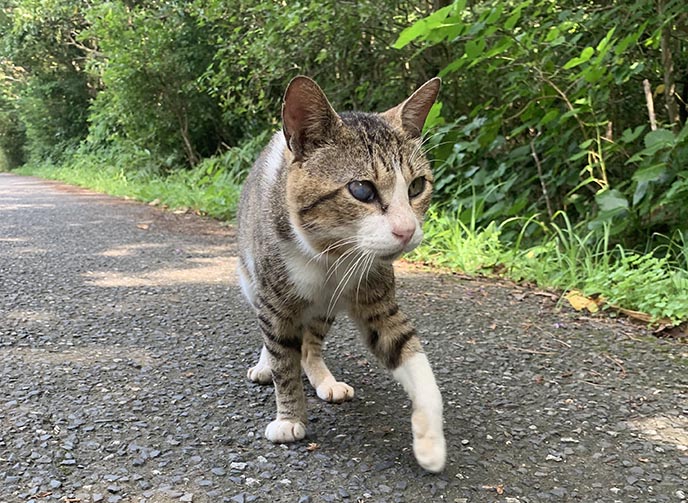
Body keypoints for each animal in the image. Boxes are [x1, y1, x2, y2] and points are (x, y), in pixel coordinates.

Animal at [236, 75, 446, 472]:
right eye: (361, 189)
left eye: (416, 187)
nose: (407, 230)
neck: (331, 257)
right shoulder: (275, 300)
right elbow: (283, 361)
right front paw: (289, 419)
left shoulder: (377, 297)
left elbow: (410, 353)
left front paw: (431, 442)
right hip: (252, 280)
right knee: (272, 336)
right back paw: (263, 365)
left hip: (324, 310)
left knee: (311, 345)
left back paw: (324, 378)